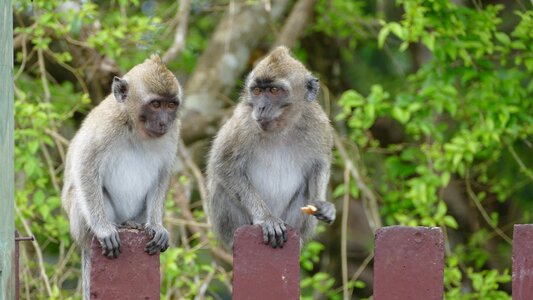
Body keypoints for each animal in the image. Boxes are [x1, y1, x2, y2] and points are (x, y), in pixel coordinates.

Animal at [206, 45, 334, 250]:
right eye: (257, 91)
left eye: (274, 90)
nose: (261, 107)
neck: (281, 127)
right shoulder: (244, 123)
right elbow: (223, 166)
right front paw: (266, 218)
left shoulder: (319, 123)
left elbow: (320, 165)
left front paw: (323, 204)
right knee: (221, 187)